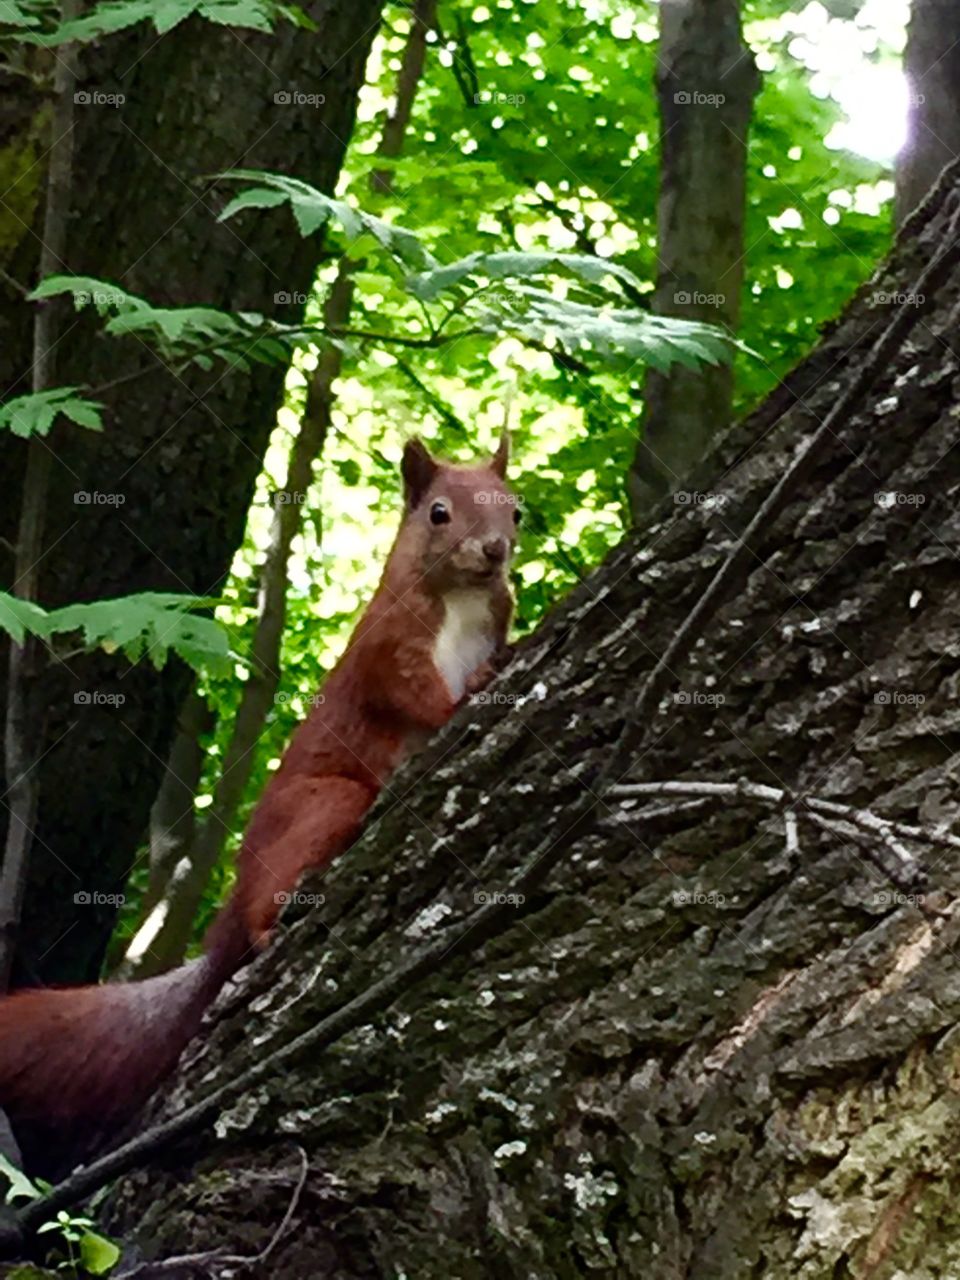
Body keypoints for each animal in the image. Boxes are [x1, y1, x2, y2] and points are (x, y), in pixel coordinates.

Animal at [0, 435, 517, 1177]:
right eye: (439, 513)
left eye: (517, 509)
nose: (496, 550)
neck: (462, 598)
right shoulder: (387, 648)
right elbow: (414, 696)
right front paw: (469, 689)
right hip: (327, 801)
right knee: (267, 895)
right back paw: (270, 924)